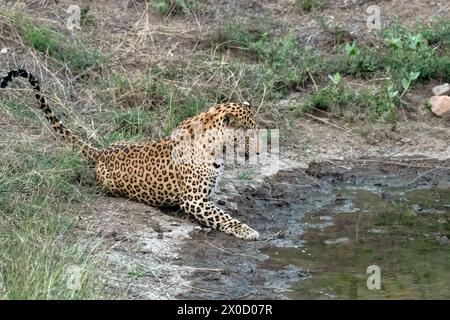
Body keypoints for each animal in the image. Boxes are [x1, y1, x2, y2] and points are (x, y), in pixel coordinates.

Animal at [0, 69, 260, 239]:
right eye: (249, 134)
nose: (258, 151)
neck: (219, 147)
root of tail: (101, 152)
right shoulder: (194, 200)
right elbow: (223, 217)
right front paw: (248, 230)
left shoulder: (204, 196)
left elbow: (220, 209)